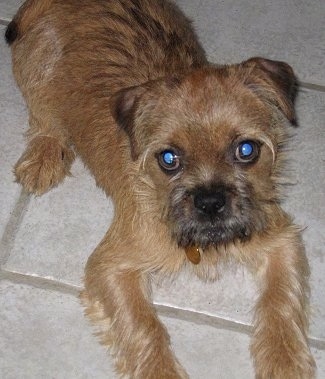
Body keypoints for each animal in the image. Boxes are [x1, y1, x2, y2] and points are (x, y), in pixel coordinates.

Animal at [4, 0, 314, 378]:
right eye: (169, 159)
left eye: (246, 150)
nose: (210, 202)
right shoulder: (112, 266)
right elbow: (144, 326)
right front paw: (160, 370)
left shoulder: (281, 238)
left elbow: (280, 300)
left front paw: (285, 361)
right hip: (38, 69)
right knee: (45, 117)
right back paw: (44, 157)